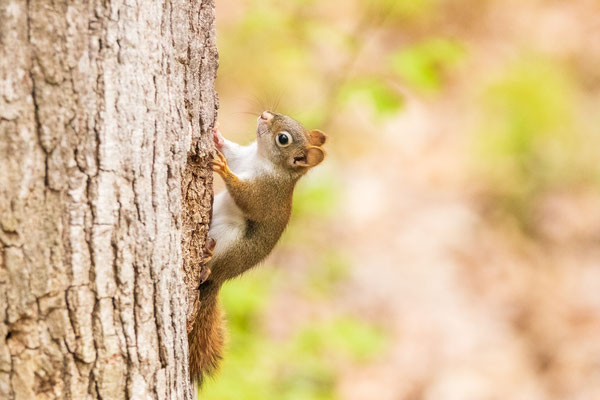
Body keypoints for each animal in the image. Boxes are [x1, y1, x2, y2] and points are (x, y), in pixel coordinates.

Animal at [189, 111, 326, 386]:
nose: (265, 115)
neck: (259, 157)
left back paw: (206, 261)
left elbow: (247, 199)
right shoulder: (241, 156)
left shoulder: (266, 193)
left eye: (283, 138)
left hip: (229, 241)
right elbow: (230, 151)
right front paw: (217, 136)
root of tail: (221, 278)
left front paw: (224, 170)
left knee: (211, 268)